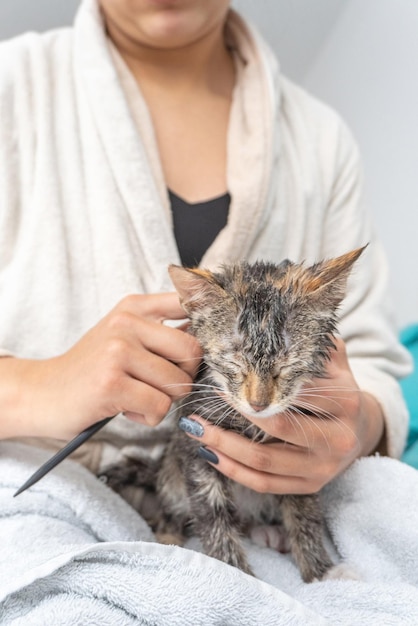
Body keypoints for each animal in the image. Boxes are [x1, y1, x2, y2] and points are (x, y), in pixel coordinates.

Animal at [103, 247, 362, 580]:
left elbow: (303, 508)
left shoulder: (301, 458)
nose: (259, 404)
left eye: (286, 366)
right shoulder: (196, 441)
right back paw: (168, 535)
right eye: (235, 364)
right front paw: (236, 576)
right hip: (172, 469)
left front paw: (320, 570)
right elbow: (213, 515)